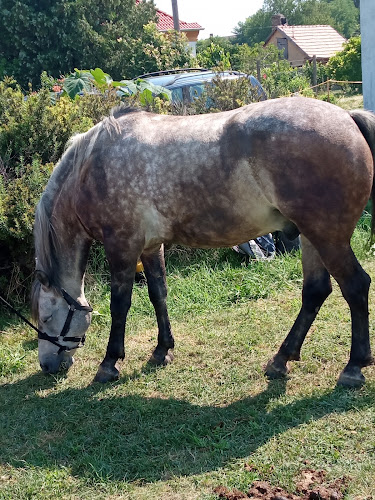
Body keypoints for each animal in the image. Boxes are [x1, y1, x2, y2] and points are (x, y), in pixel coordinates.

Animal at [31, 97, 375, 386]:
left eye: (46, 317)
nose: (46, 365)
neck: (92, 167)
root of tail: (347, 116)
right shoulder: (150, 246)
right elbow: (158, 294)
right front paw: (162, 350)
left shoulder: (123, 246)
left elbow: (120, 305)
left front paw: (109, 363)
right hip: (311, 237)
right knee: (316, 291)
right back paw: (281, 360)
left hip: (327, 237)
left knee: (355, 285)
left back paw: (353, 367)